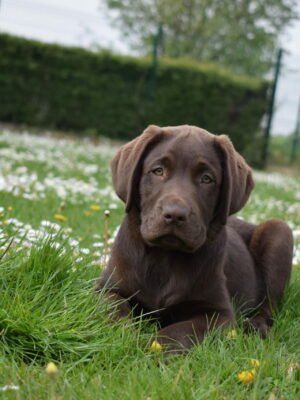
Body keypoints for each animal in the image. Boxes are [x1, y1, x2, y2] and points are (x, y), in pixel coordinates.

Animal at [98, 126, 292, 354]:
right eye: (158, 171)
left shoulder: (219, 313)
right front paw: (125, 338)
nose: (175, 214)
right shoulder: (106, 288)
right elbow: (113, 309)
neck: (165, 258)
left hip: (279, 231)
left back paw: (256, 326)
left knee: (269, 307)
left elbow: (179, 332)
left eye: (207, 179)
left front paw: (150, 349)